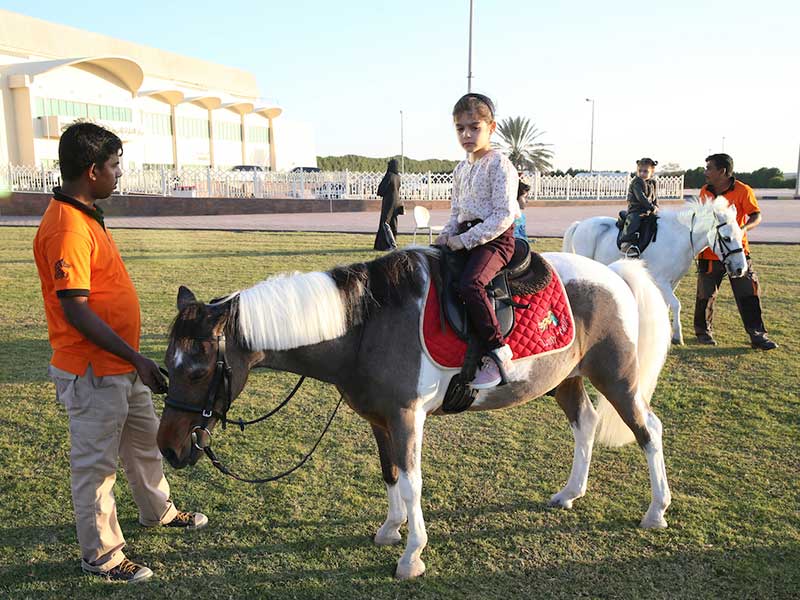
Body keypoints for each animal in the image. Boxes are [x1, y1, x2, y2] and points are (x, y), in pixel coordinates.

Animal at [158, 247, 676, 576]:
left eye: (199, 371)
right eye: (168, 364)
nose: (169, 448)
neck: (364, 325)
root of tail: (613, 273)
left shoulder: (408, 418)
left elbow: (411, 482)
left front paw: (412, 555)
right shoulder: (380, 419)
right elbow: (389, 474)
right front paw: (391, 529)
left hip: (617, 378)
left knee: (649, 430)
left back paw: (656, 510)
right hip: (565, 378)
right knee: (585, 423)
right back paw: (571, 493)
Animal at [560, 198, 748, 342]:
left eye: (741, 236)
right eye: (726, 238)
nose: (741, 269)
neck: (678, 239)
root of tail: (580, 224)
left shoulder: (673, 283)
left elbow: (666, 305)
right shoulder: (661, 281)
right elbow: (676, 305)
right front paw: (677, 336)